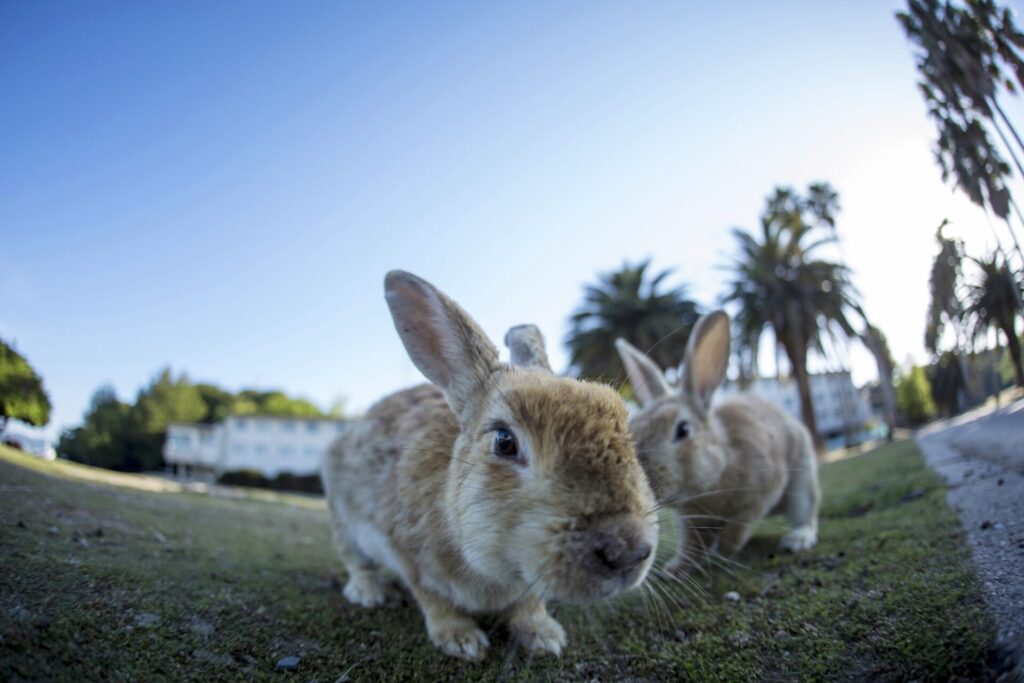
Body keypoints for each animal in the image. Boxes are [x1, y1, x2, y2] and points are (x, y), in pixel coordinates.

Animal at [319, 272, 655, 663]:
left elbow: (529, 604)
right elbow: (434, 600)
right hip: (342, 518)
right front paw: (462, 641)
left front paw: (544, 636)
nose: (627, 551)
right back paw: (370, 592)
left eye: (627, 434)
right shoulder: (409, 556)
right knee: (356, 560)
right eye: (504, 441)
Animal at [610, 311, 819, 577]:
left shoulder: (761, 493)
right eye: (633, 429)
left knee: (807, 516)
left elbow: (738, 527)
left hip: (803, 483)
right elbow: (692, 546)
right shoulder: (692, 521)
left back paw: (796, 540)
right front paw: (674, 569)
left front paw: (724, 549)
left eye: (683, 430)